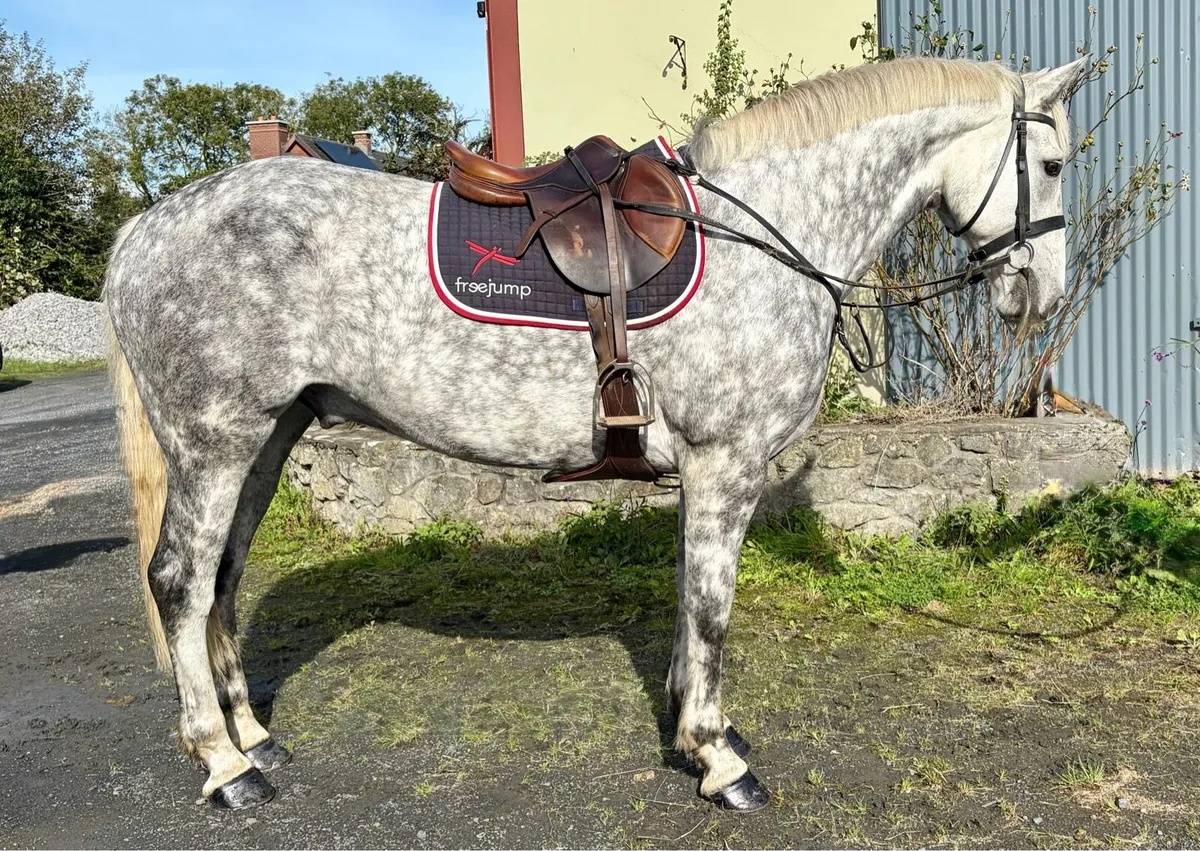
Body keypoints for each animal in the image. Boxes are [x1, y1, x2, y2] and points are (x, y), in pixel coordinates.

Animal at [103, 55, 1086, 811]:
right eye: (1050, 163)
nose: (1042, 293)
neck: (762, 232)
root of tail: (142, 232)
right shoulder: (728, 463)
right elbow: (713, 607)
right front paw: (717, 757)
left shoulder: (703, 471)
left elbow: (690, 598)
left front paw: (693, 724)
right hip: (215, 441)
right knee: (181, 581)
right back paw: (223, 763)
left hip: (267, 438)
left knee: (224, 576)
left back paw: (253, 735)